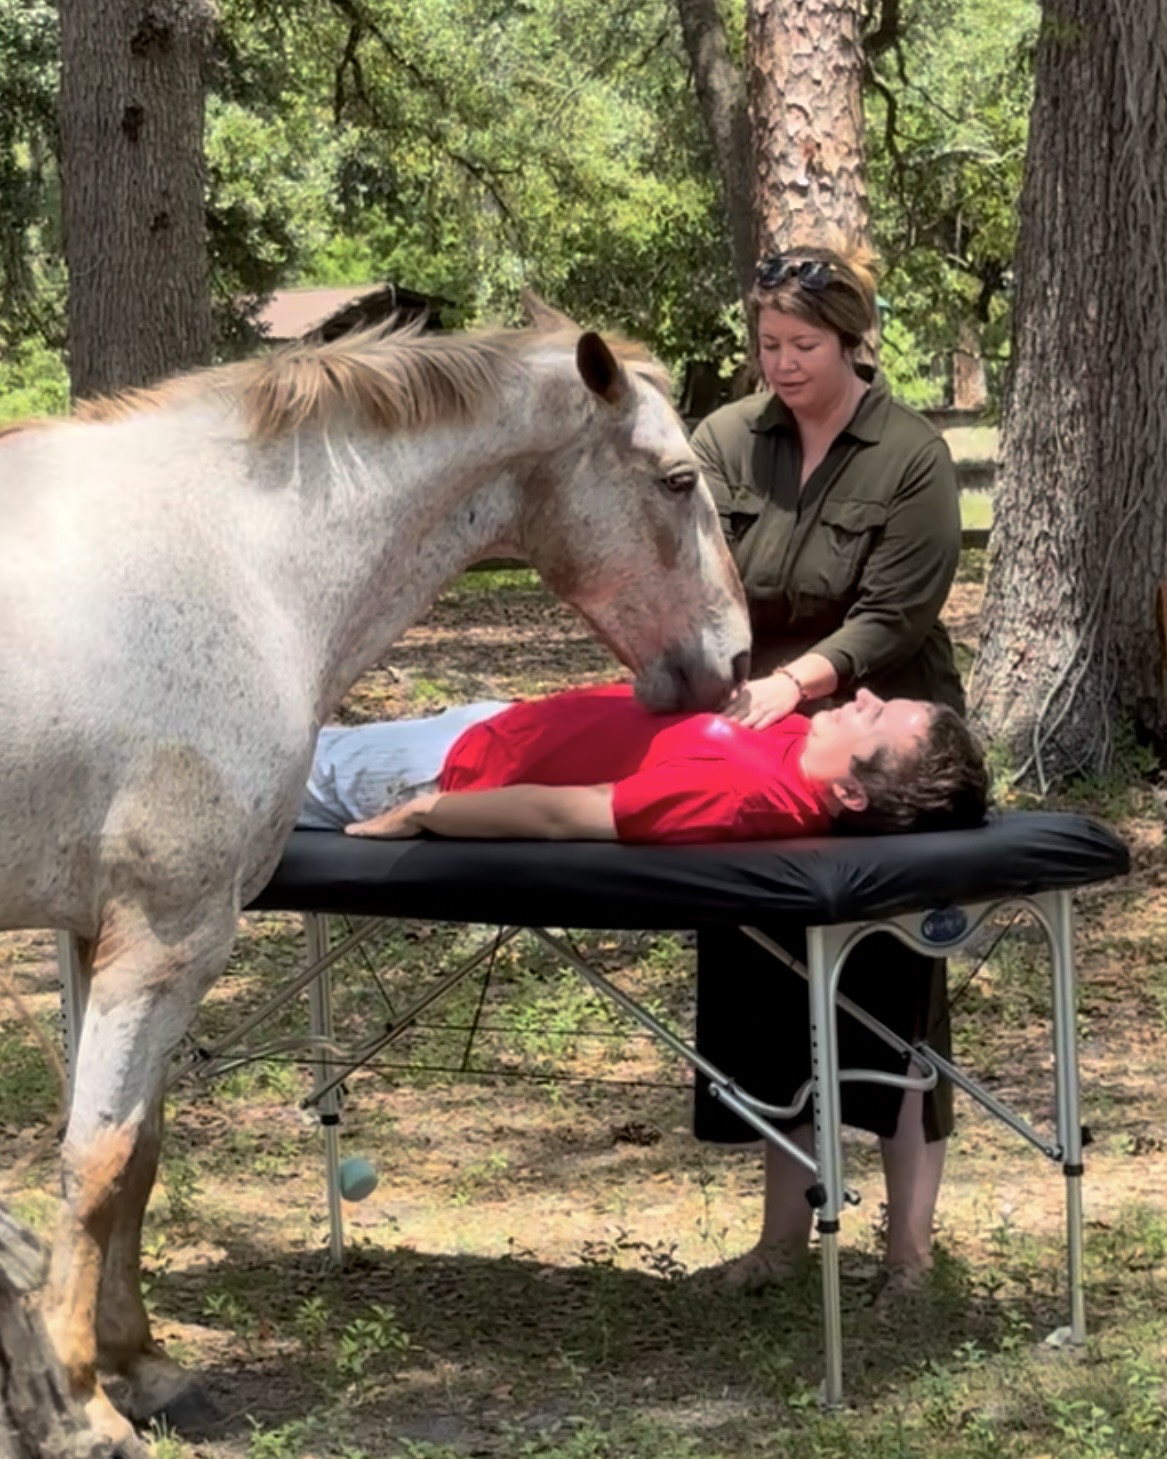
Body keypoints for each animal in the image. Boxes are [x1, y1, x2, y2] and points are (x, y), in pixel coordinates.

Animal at [0, 315, 749, 1454]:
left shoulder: (109, 936)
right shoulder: (167, 937)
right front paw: (84, 1404)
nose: (735, 663)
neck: (228, 559)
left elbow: (138, 1154)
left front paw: (142, 1365)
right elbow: (96, 1161)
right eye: (676, 479)